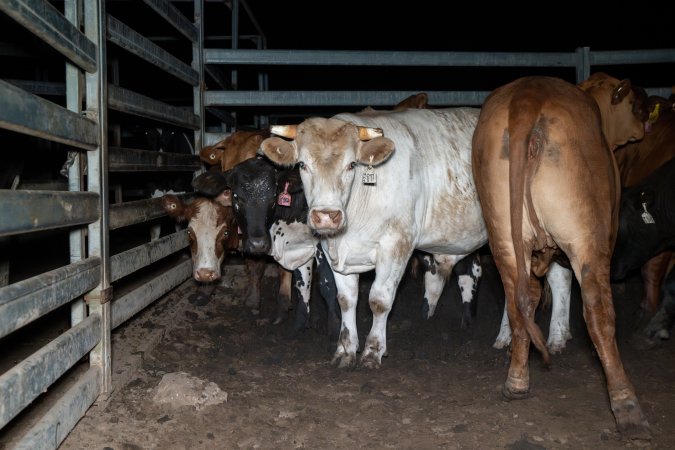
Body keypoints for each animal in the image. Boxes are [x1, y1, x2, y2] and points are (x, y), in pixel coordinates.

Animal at [262, 106, 488, 370]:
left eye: (351, 164)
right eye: (302, 164)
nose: (327, 216)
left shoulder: (397, 246)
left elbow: (379, 300)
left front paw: (372, 351)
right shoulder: (334, 251)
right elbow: (346, 300)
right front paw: (346, 350)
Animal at [472, 73, 652, 436]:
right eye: (632, 105)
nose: (643, 128)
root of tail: (527, 96)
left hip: (503, 234)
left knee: (518, 304)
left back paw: (516, 382)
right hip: (585, 233)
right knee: (598, 312)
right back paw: (626, 404)